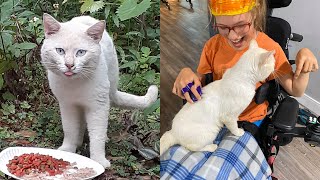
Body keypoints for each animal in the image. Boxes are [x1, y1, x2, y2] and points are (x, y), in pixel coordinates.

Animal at [40, 13, 158, 167]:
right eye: (60, 51)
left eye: (81, 52)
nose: (69, 65)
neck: (75, 84)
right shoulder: (67, 105)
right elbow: (70, 129)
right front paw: (68, 149)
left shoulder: (98, 106)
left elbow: (97, 135)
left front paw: (99, 160)